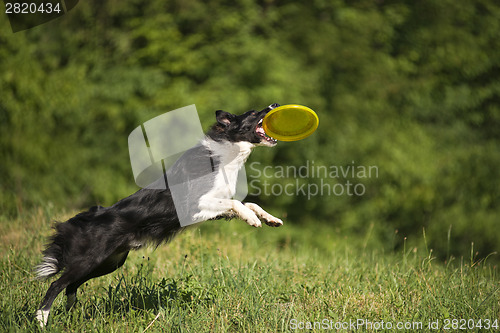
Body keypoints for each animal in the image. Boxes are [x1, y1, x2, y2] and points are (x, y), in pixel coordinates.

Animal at [35, 103, 284, 324]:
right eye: (253, 112)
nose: (275, 104)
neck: (228, 152)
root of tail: (81, 219)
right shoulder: (194, 204)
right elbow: (236, 203)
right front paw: (253, 220)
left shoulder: (213, 208)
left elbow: (248, 203)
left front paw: (271, 219)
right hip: (89, 259)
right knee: (56, 285)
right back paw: (41, 320)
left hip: (109, 262)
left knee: (70, 285)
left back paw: (72, 313)